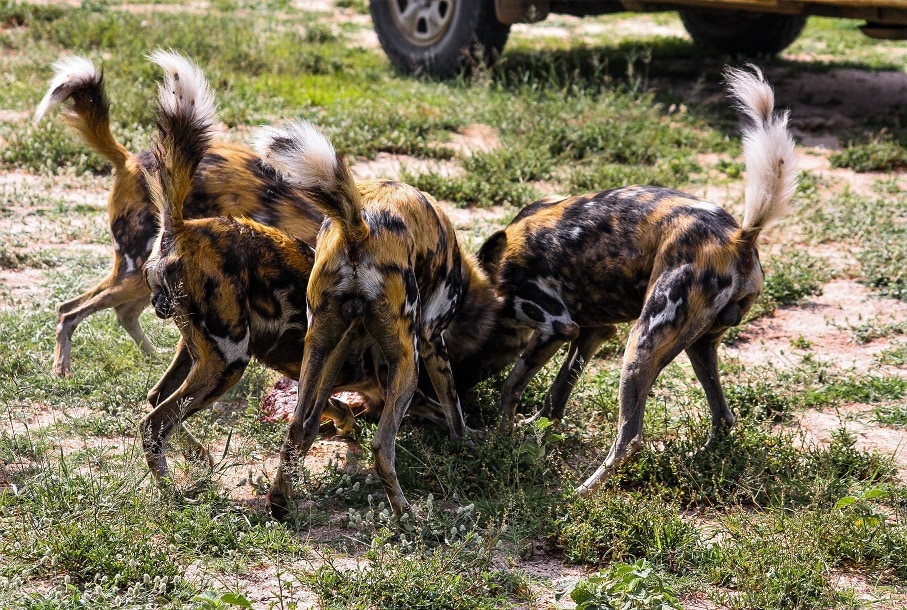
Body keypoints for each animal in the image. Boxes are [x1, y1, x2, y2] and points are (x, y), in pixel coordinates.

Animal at [33, 54, 324, 376]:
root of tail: (129, 160)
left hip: (146, 279)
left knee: (118, 311)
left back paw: (151, 356)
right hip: (136, 272)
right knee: (70, 310)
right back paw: (63, 368)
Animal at [472, 65, 800, 494]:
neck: (492, 280)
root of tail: (738, 237)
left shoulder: (557, 325)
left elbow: (511, 388)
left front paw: (503, 437)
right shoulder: (592, 332)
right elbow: (556, 395)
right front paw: (537, 430)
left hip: (641, 345)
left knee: (630, 438)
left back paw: (584, 491)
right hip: (697, 346)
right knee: (724, 418)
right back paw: (699, 461)